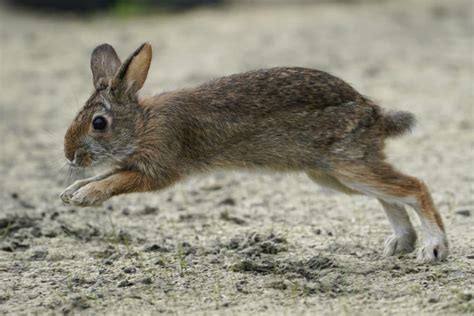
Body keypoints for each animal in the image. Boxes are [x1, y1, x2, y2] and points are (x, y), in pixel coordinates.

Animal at [59, 42, 448, 264]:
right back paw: (401, 243)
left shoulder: (159, 166)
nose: (69, 155)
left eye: (98, 123)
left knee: (413, 186)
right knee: (389, 195)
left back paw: (433, 249)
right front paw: (71, 192)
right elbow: (108, 172)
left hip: (347, 166)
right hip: (333, 173)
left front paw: (85, 196)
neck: (142, 124)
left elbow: (117, 180)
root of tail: (373, 111)